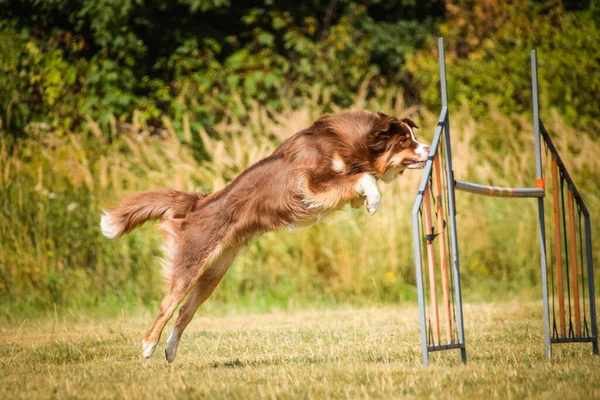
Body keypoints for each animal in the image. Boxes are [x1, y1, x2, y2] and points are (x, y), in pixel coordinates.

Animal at [102, 109, 432, 362]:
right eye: (405, 141)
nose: (430, 149)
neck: (352, 143)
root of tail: (197, 204)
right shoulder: (309, 184)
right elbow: (362, 177)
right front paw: (373, 201)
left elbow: (358, 180)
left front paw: (369, 198)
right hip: (190, 264)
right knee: (166, 306)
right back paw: (148, 346)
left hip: (213, 273)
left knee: (184, 312)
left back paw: (170, 351)